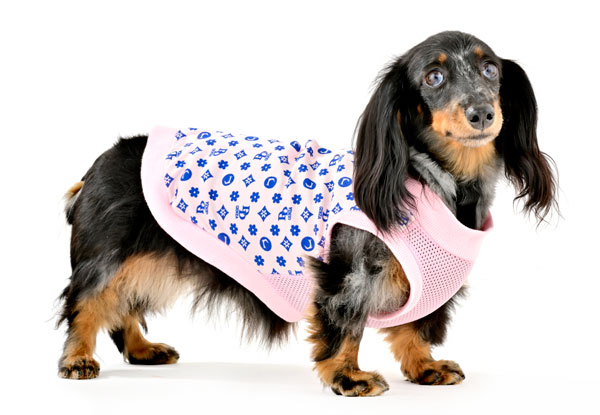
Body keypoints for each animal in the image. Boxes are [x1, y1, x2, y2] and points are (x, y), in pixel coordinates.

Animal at [57, 31, 557, 396]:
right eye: (433, 77)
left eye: (491, 70)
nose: (482, 113)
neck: (433, 181)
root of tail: (100, 162)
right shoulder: (348, 273)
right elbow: (345, 326)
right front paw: (348, 376)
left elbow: (414, 328)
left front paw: (424, 367)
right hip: (110, 259)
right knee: (86, 304)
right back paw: (78, 358)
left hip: (147, 263)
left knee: (122, 309)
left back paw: (143, 349)